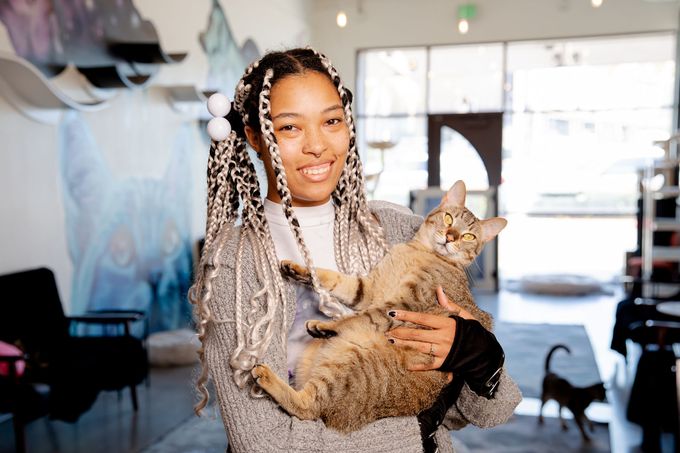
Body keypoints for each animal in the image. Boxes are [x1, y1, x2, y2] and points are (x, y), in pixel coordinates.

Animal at [250, 179, 504, 430]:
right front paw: (298, 269)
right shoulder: (368, 289)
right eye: (449, 219)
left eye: (468, 236)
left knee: (308, 409)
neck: (420, 252)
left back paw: (266, 375)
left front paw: (327, 325)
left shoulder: (403, 304)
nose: (451, 236)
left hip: (349, 363)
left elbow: (364, 316)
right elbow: (331, 278)